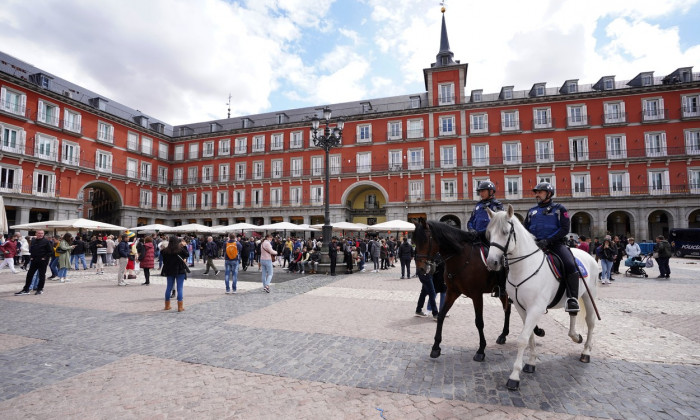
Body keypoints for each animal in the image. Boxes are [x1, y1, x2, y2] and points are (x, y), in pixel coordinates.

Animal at [412, 220, 544, 360]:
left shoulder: (476, 295)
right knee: (507, 310)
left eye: (425, 240)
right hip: (504, 292)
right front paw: (436, 347)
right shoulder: (452, 292)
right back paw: (504, 335)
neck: (462, 258)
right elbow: (441, 315)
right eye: (414, 241)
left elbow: (479, 322)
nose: (421, 269)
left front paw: (481, 350)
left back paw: (535, 330)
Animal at [486, 205, 596, 392]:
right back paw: (575, 336)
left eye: (505, 232)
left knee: (590, 321)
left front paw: (514, 376)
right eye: (489, 233)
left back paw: (586, 352)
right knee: (573, 312)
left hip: (589, 295)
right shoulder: (521, 308)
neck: (524, 268)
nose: (491, 262)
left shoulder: (535, 308)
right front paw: (530, 363)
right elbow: (530, 336)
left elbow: (523, 339)